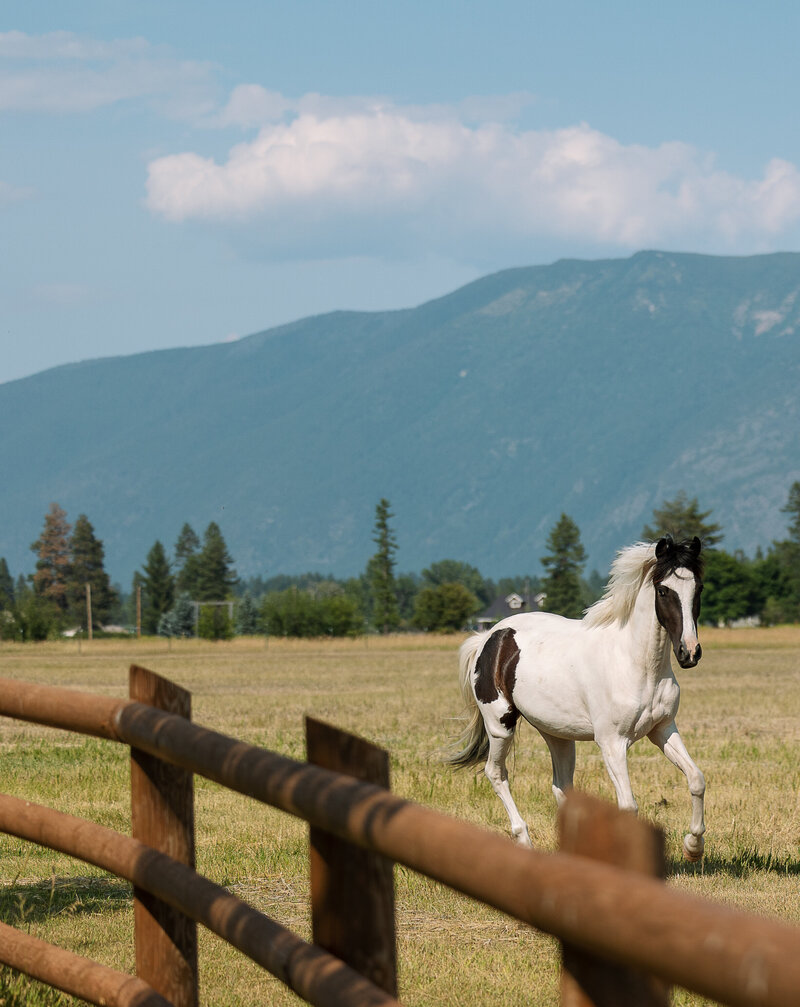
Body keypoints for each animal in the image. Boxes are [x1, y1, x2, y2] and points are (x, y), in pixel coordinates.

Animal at [449, 539, 705, 861]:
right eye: (663, 590)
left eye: (698, 588)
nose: (689, 652)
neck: (637, 664)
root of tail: (488, 637)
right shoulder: (612, 743)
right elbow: (628, 805)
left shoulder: (663, 729)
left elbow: (696, 779)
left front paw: (693, 847)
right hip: (500, 726)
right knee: (496, 773)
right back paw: (524, 840)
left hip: (557, 735)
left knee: (561, 787)